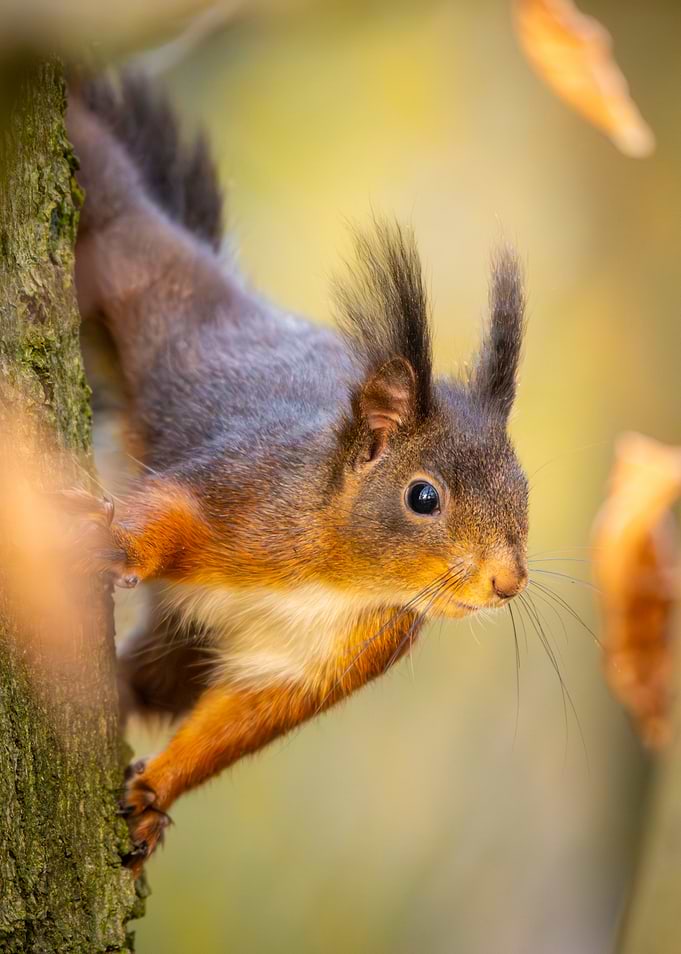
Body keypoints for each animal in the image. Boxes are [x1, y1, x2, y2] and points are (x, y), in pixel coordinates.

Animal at [66, 74, 529, 873]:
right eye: (423, 497)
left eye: (524, 493)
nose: (507, 582)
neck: (339, 579)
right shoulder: (243, 489)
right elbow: (169, 509)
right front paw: (115, 544)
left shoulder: (327, 661)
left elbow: (237, 722)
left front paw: (152, 796)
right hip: (134, 269)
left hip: (183, 648)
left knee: (152, 684)